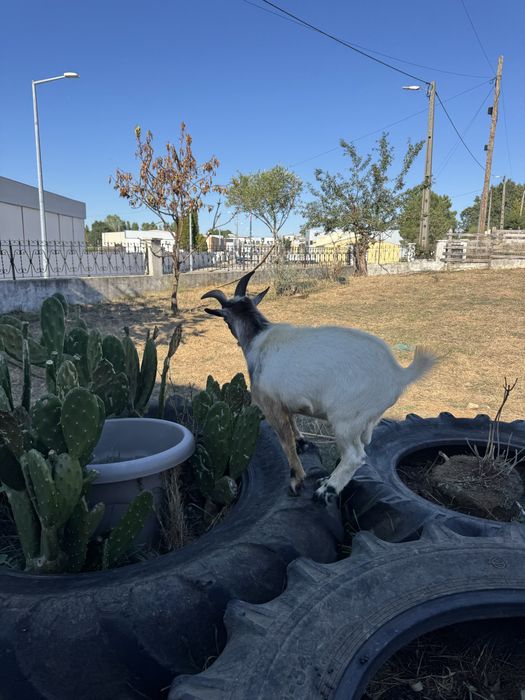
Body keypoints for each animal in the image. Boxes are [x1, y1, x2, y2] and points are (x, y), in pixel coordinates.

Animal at [202, 270, 436, 503]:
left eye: (225, 320)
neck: (259, 338)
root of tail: (398, 374)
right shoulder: (285, 402)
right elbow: (293, 423)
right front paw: (303, 442)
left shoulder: (270, 406)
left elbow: (286, 445)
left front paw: (296, 481)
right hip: (364, 422)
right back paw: (327, 481)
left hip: (345, 421)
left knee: (354, 456)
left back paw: (326, 490)